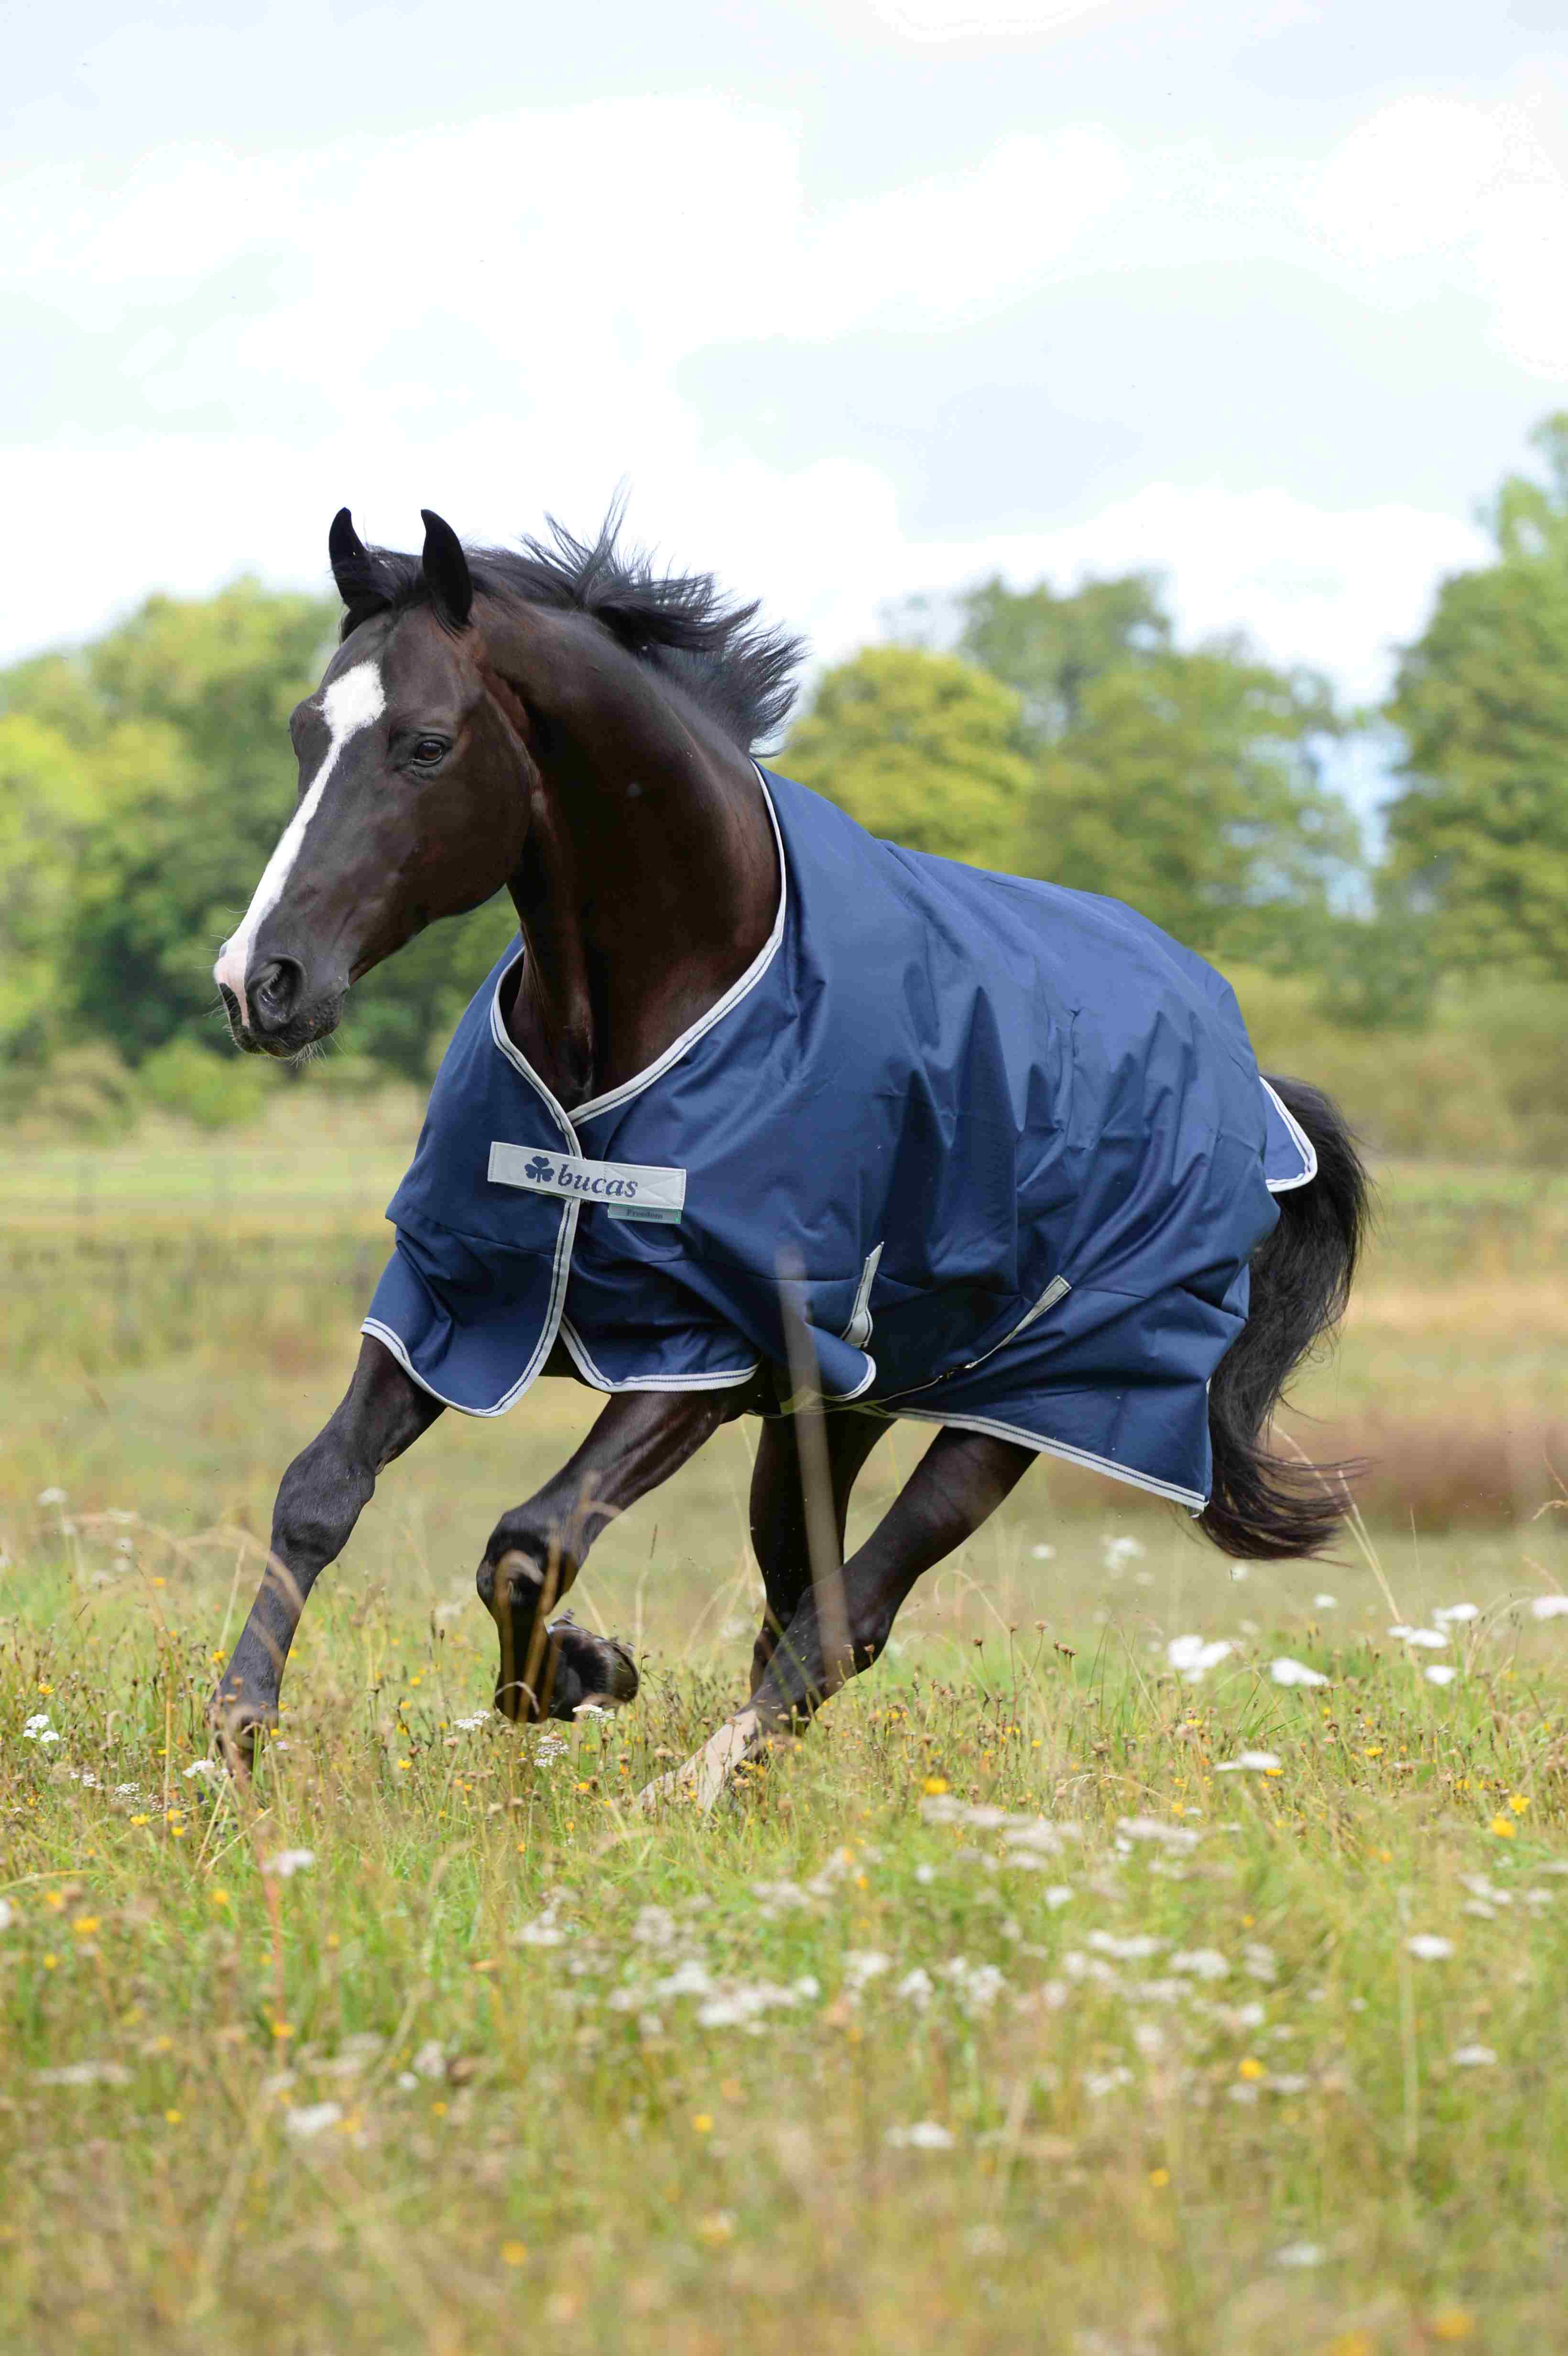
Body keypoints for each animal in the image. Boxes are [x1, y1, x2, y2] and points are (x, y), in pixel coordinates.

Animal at [210, 505, 1368, 1806]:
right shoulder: (456, 1289)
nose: (261, 982)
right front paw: (236, 1736)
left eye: (424, 745)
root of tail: (1251, 1090)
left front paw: (583, 1672)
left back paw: (687, 1791)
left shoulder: (706, 1347)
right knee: (800, 1602)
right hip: (840, 1410)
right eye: (307, 729)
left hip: (1030, 1407)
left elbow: (529, 1543)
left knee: (845, 1616)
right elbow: (319, 1490)